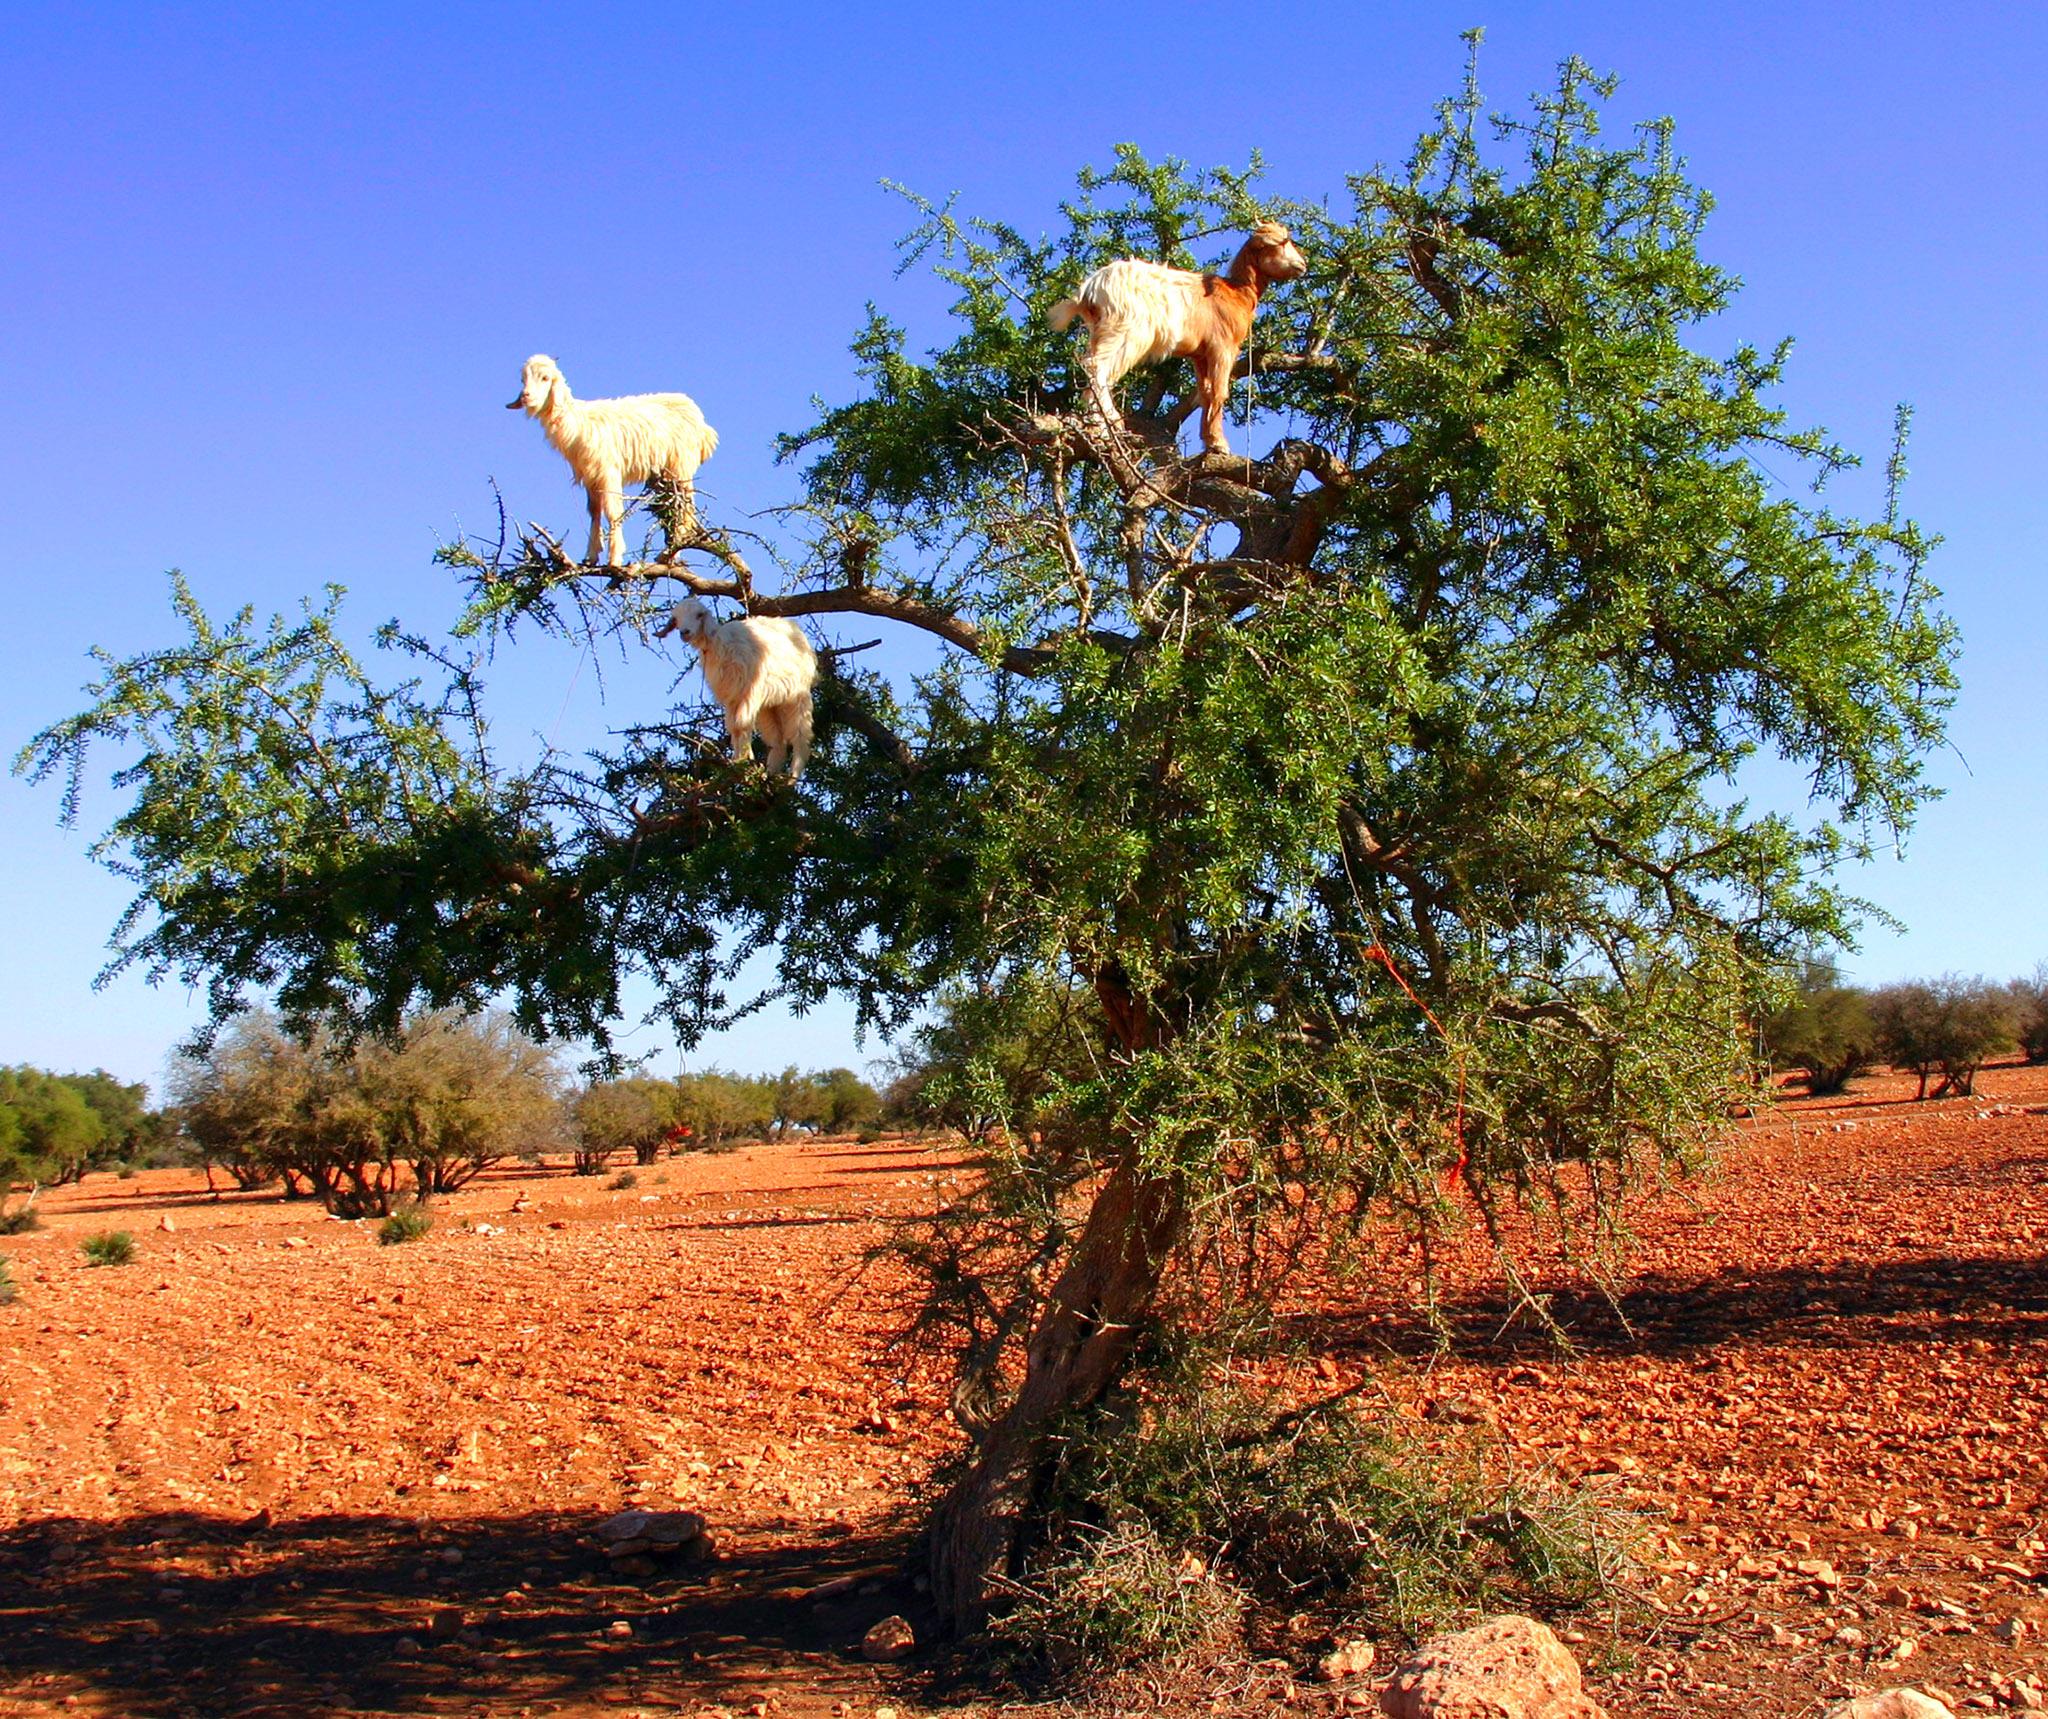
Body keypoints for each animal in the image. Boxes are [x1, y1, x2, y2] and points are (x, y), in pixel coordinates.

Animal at [505, 356, 720, 569]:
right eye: (523, 379)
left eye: (545, 378)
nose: (526, 396)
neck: (579, 423)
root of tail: (704, 426)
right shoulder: (591, 477)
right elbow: (594, 511)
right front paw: (591, 556)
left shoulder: (609, 473)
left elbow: (613, 512)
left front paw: (615, 559)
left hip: (681, 465)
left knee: (686, 507)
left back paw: (674, 548)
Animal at [655, 594, 815, 774]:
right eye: (676, 618)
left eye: (699, 615)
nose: (685, 632)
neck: (719, 645)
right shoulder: (731, 698)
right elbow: (734, 727)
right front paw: (736, 759)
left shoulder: (748, 693)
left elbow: (741, 724)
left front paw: (743, 759)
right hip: (770, 705)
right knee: (777, 740)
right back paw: (771, 772)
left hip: (798, 695)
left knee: (800, 736)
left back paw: (792, 776)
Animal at [1048, 222, 1302, 456]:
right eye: (1281, 243)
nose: (1302, 265)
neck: (1236, 291)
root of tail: (1089, 290)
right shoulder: (1223, 347)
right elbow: (1219, 392)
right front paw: (1220, 445)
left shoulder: (1200, 355)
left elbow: (1205, 393)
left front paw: (1208, 440)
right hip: (1125, 330)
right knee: (1097, 367)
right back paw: (1107, 424)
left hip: (1099, 330)